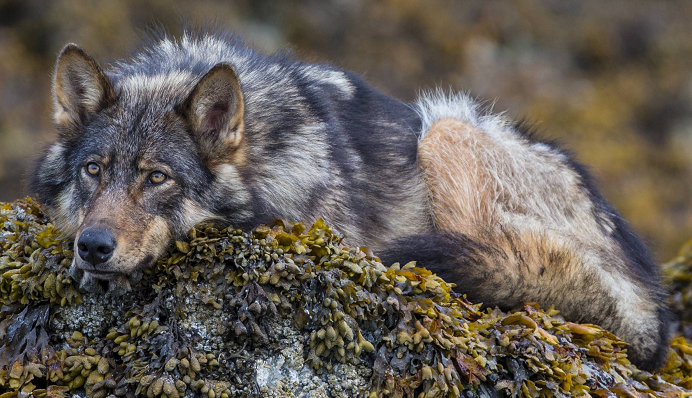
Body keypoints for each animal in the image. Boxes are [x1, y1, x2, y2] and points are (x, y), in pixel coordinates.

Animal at [31, 31, 672, 370]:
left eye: (158, 178)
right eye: (93, 170)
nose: (93, 247)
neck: (265, 156)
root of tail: (651, 303)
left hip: (446, 126)